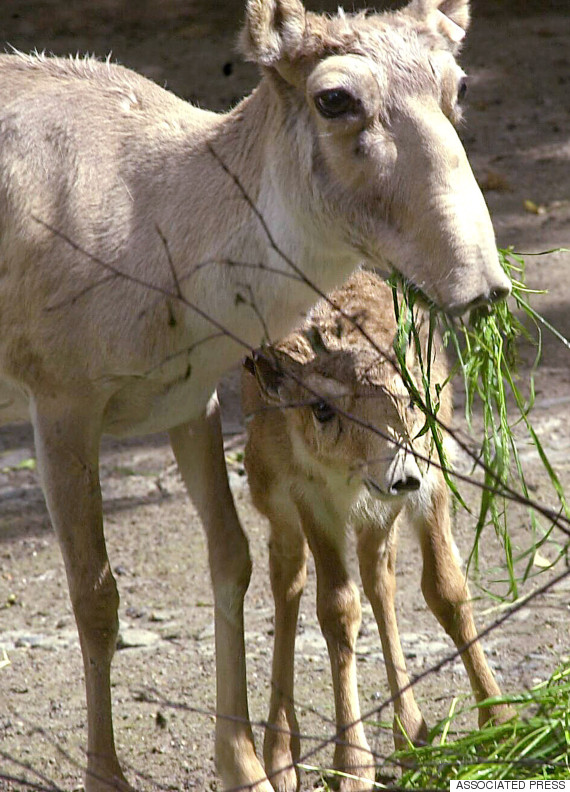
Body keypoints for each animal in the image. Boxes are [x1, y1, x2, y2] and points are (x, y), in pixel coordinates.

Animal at [242, 272, 508, 792]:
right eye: (321, 408)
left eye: (412, 397)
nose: (399, 475)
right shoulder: (308, 495)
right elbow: (337, 608)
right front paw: (352, 766)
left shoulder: (433, 473)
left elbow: (447, 589)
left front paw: (501, 721)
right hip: (270, 492)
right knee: (288, 577)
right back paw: (280, 756)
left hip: (379, 513)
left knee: (377, 577)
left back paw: (413, 736)